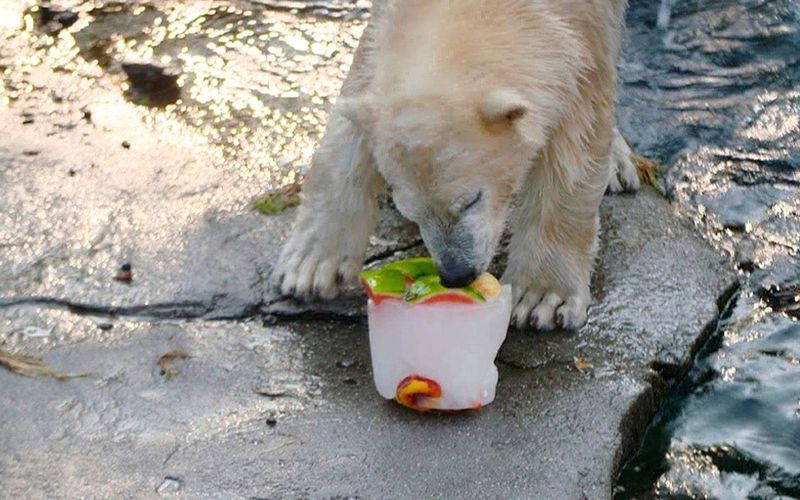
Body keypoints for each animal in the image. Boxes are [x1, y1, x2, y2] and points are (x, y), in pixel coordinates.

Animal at [272, 0, 640, 332]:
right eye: (411, 212)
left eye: (471, 200)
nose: (456, 274)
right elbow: (356, 101)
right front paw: (309, 267)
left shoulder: (584, 29)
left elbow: (576, 136)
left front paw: (541, 297)